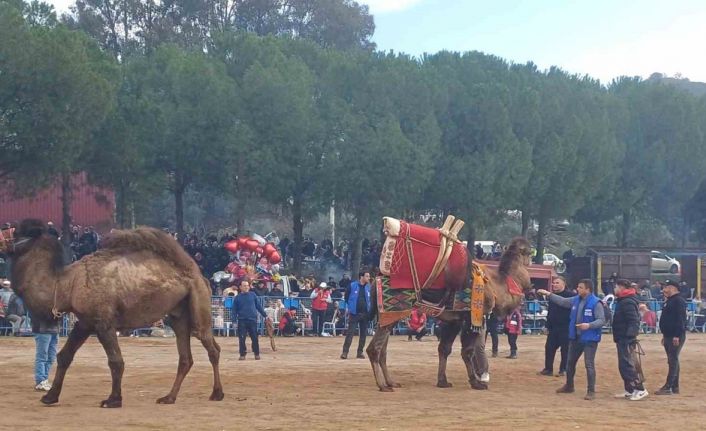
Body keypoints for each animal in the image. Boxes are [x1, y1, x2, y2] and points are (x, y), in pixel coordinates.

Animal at [0, 221, 223, 406]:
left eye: (15, 231)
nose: (2, 239)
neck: (66, 285)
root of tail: (199, 275)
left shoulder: (104, 323)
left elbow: (116, 361)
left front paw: (113, 399)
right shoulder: (85, 322)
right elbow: (64, 356)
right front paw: (50, 397)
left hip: (198, 303)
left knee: (211, 347)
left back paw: (216, 394)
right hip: (177, 315)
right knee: (185, 357)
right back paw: (169, 397)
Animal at [366, 216, 524, 392]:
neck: (496, 286)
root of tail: (375, 281)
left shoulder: (454, 320)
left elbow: (444, 349)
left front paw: (443, 381)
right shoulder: (470, 317)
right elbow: (467, 352)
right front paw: (476, 383)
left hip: (389, 315)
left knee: (383, 350)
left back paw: (391, 382)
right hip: (391, 311)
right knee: (374, 349)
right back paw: (382, 385)